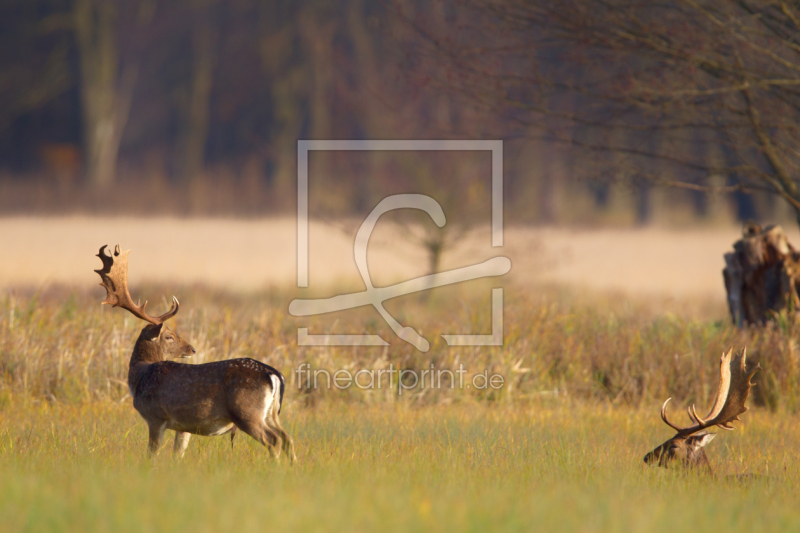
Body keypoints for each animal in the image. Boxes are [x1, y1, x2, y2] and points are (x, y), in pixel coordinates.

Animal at [96, 245, 296, 462]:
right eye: (170, 336)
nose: (192, 349)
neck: (140, 376)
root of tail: (274, 375)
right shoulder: (183, 426)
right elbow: (178, 454)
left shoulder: (155, 416)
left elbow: (152, 453)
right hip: (271, 414)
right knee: (288, 438)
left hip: (247, 412)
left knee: (274, 440)